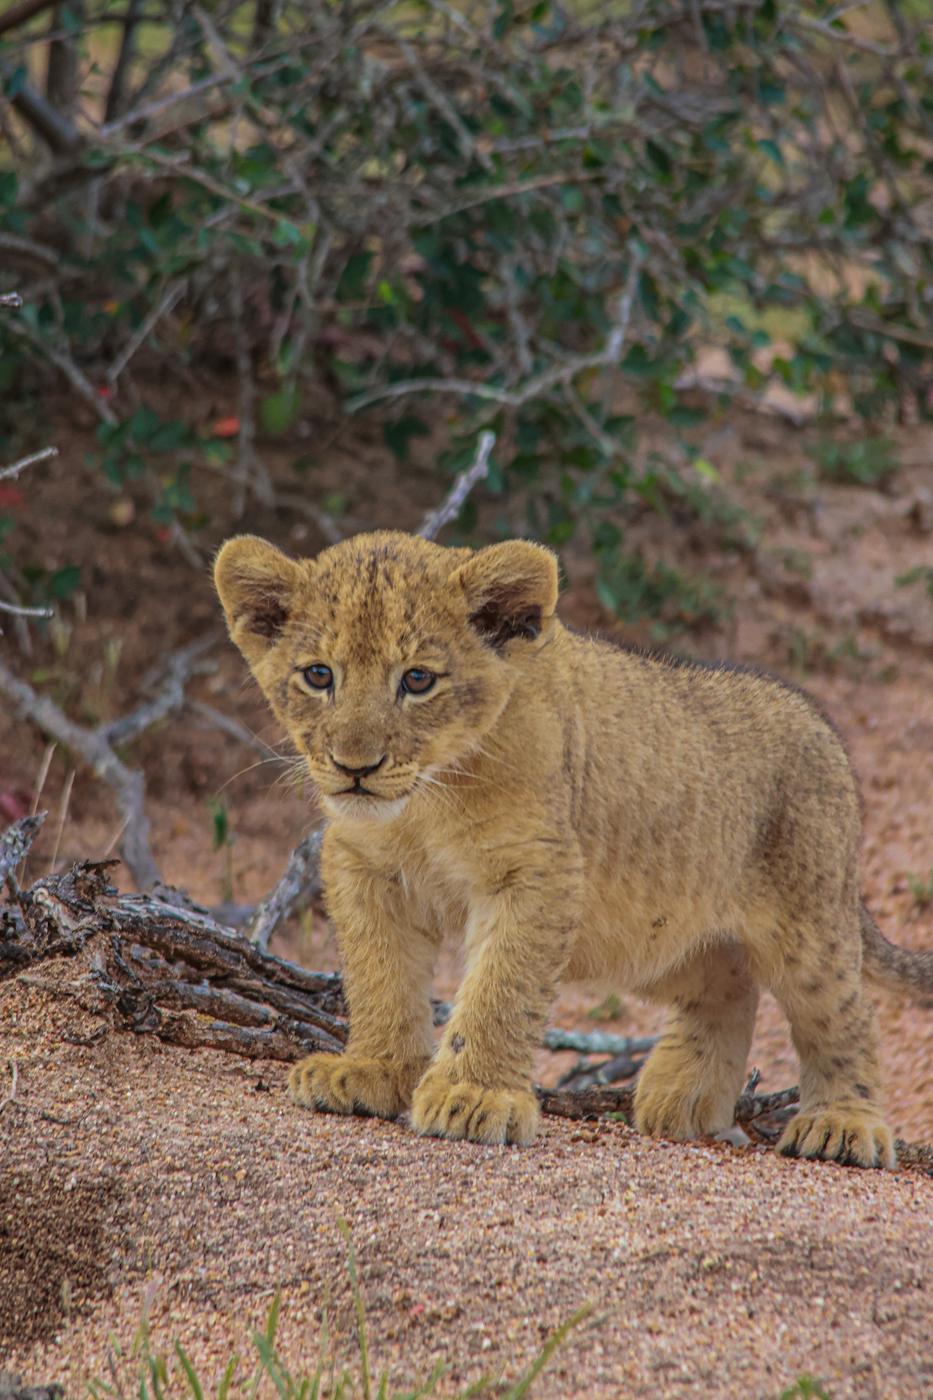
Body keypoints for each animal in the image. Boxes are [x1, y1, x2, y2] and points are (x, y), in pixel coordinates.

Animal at [214, 529, 932, 1167]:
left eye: (417, 680)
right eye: (318, 675)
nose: (354, 767)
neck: (424, 803)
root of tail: (819, 723)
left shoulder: (538, 872)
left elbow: (499, 987)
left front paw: (474, 1096)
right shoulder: (364, 868)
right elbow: (378, 976)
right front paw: (371, 1071)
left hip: (805, 924)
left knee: (843, 1014)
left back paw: (842, 1124)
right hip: (654, 931)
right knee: (728, 987)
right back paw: (681, 1100)